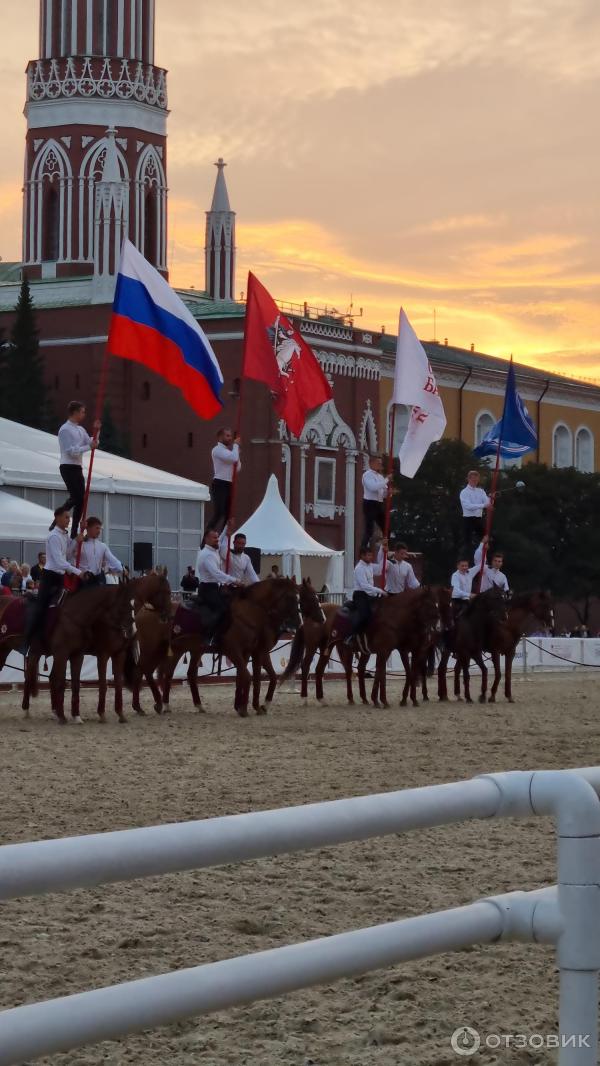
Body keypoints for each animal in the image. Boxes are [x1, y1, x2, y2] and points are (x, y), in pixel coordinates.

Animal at [159, 579, 300, 720]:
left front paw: (254, 706)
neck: (248, 614)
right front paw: (244, 708)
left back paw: (199, 706)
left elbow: (253, 677)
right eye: (290, 597)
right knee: (169, 674)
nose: (297, 623)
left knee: (191, 674)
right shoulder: (238, 651)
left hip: (196, 650)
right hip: (177, 649)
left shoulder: (250, 651)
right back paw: (166, 706)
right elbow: (248, 677)